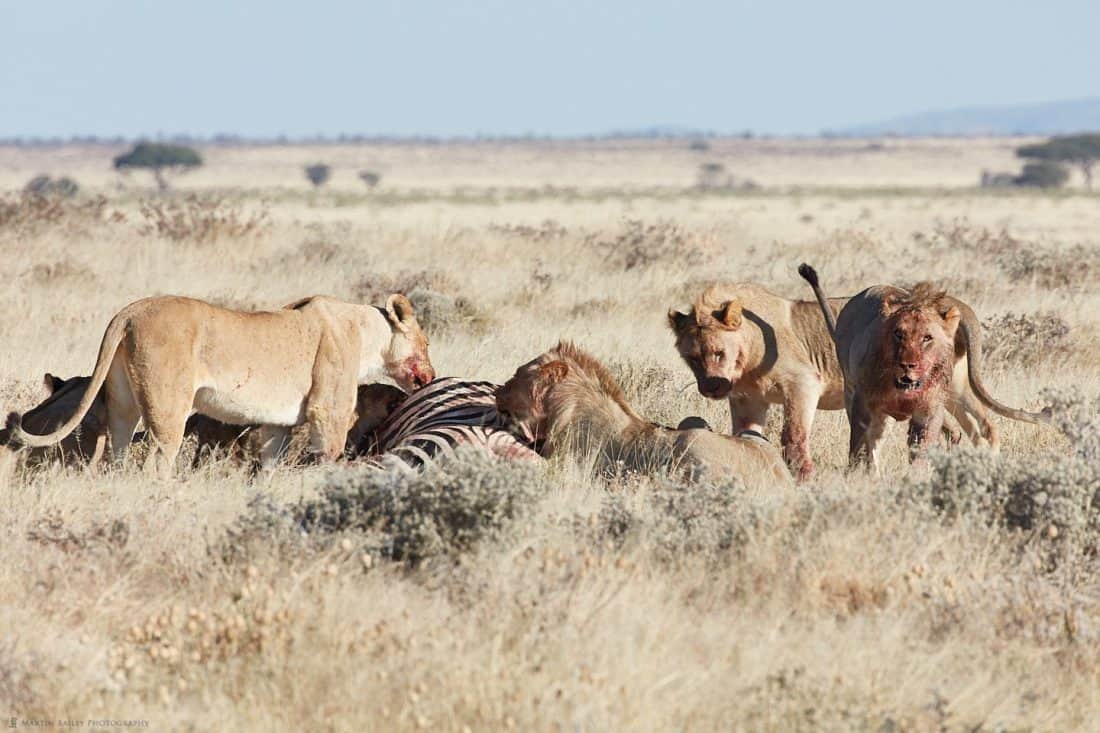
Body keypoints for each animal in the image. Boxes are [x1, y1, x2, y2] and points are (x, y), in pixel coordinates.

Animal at [800, 263, 1047, 468]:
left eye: (927, 338)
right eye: (898, 334)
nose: (908, 365)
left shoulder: (925, 407)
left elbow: (914, 447)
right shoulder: (863, 401)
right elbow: (863, 446)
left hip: (949, 390)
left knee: (977, 428)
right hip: (955, 389)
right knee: (982, 427)